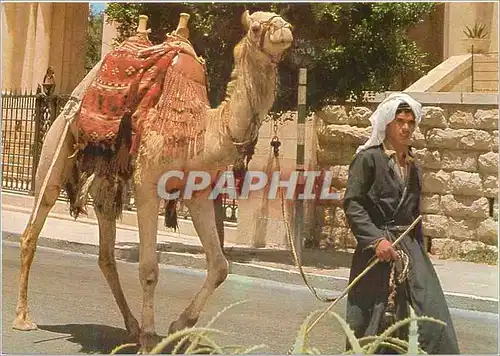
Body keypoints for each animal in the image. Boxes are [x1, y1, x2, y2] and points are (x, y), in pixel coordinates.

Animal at [11, 9, 292, 352]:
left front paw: (176, 326)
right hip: (59, 142)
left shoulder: (198, 193)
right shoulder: (148, 185)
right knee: (36, 221)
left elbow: (220, 267)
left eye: (282, 18)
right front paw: (150, 338)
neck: (199, 132)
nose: (285, 31)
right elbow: (148, 270)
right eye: (256, 27)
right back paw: (23, 318)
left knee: (106, 250)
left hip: (107, 178)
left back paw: (130, 326)